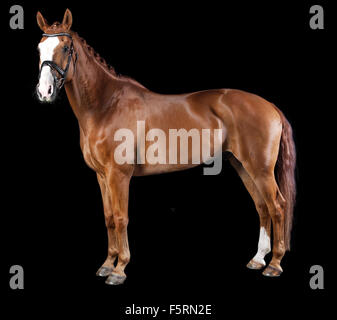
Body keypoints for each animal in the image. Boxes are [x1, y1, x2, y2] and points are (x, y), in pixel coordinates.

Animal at [35, 9, 296, 284]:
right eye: (39, 48)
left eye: (65, 48)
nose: (45, 91)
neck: (106, 105)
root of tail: (269, 105)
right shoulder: (102, 176)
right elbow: (108, 218)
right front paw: (107, 264)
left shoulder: (119, 175)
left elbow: (120, 218)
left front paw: (119, 269)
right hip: (242, 165)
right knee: (262, 207)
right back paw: (258, 259)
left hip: (261, 170)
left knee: (277, 207)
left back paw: (274, 264)